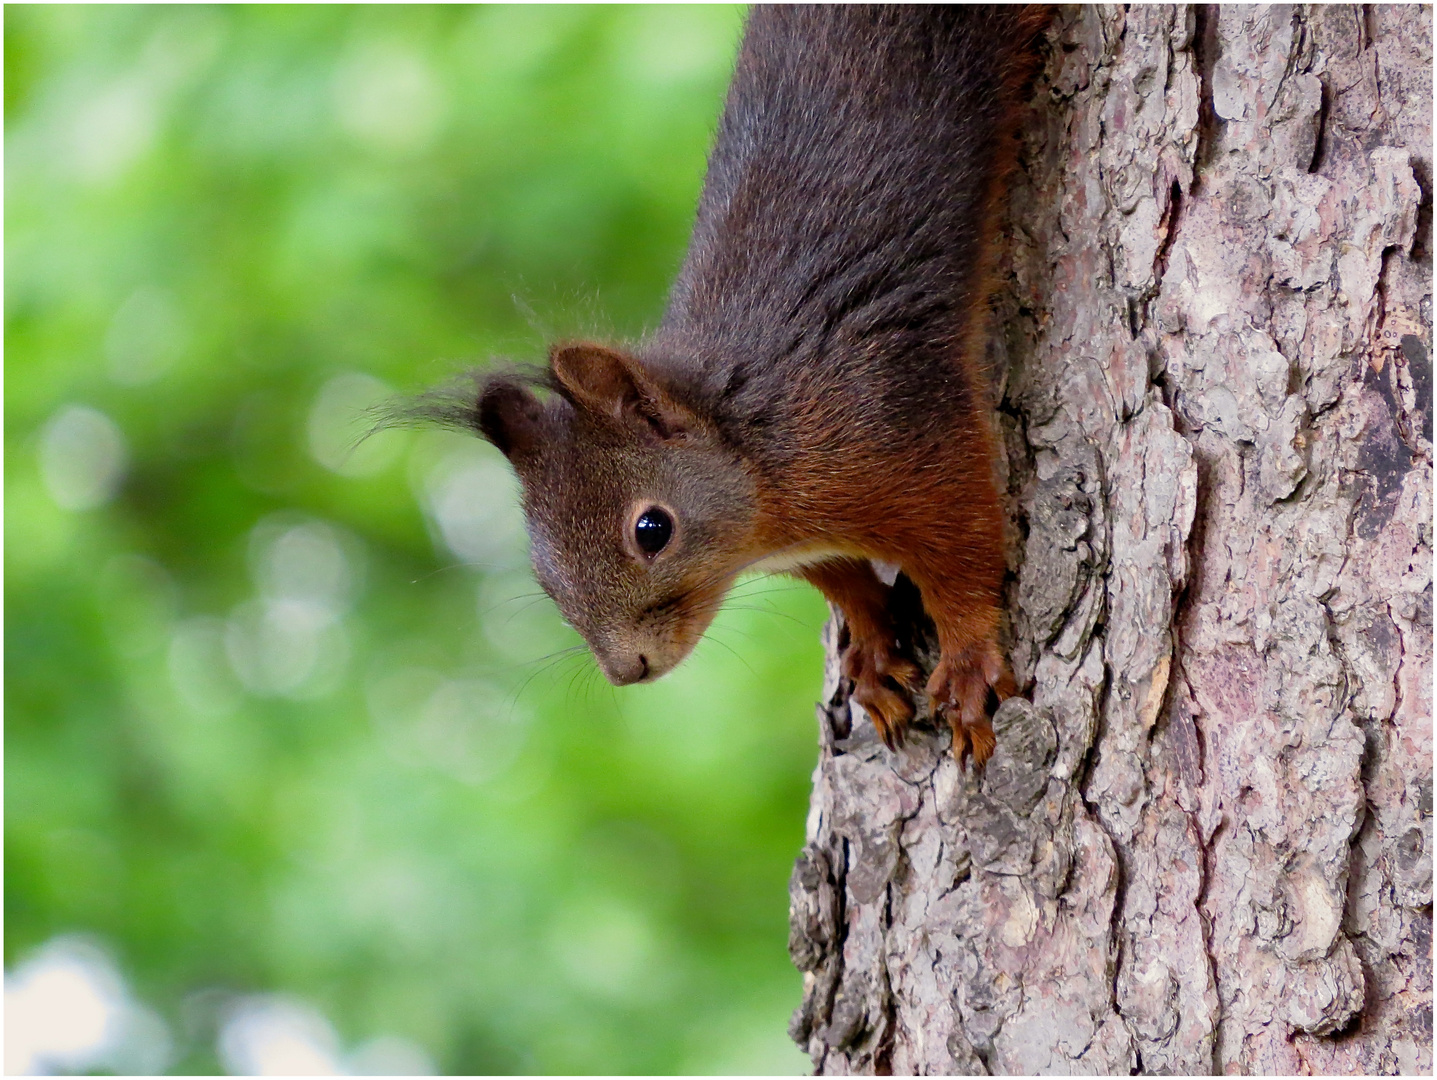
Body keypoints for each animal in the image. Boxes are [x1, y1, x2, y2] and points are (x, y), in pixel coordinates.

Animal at [419, 6, 1051, 769]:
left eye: (652, 529)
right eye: (543, 577)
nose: (628, 670)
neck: (758, 458)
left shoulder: (899, 436)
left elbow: (964, 553)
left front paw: (962, 668)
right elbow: (846, 584)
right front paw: (871, 654)